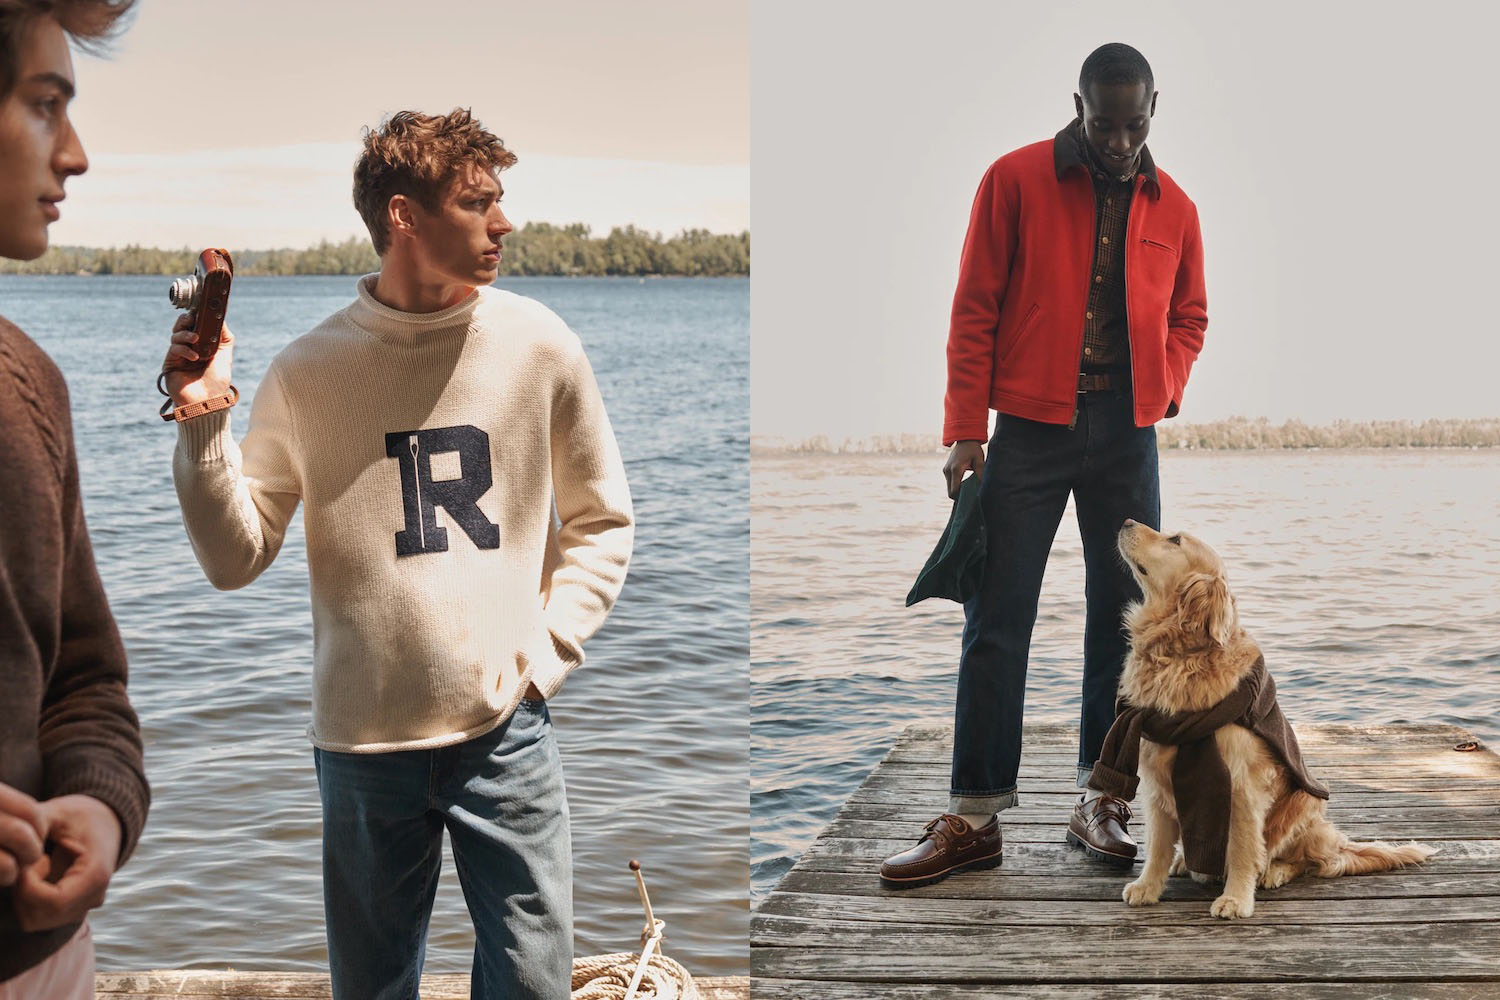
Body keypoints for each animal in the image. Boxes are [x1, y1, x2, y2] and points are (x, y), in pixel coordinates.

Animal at [1116, 524, 1428, 923]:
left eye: (1175, 540)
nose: (1126, 522)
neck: (1182, 652)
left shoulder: (1242, 786)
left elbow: (1242, 849)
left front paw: (1236, 898)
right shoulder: (1157, 777)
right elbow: (1157, 846)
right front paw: (1147, 887)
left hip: (1303, 807)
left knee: (1313, 862)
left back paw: (1274, 872)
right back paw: (1187, 861)